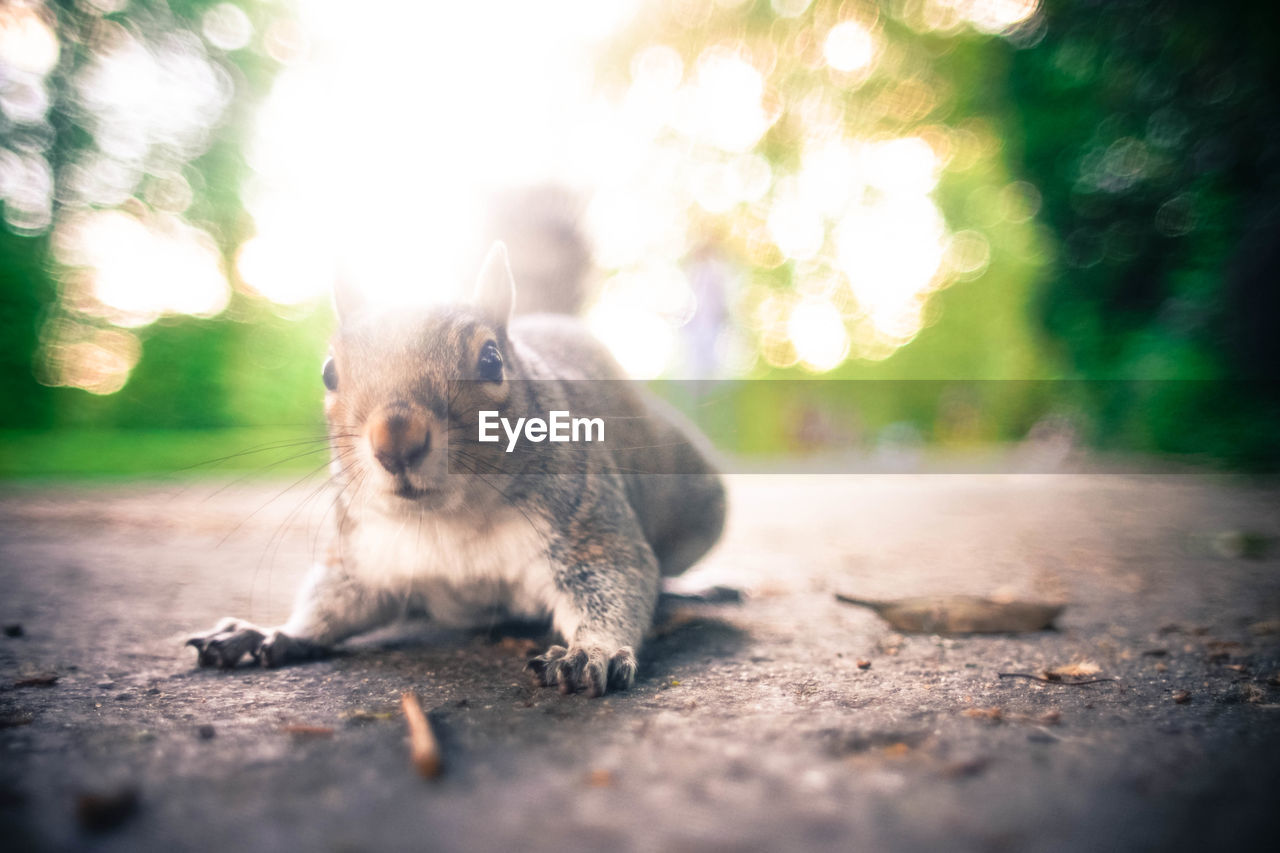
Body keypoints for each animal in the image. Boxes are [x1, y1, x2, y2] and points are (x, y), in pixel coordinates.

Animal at [190, 242, 732, 696]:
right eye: (328, 373)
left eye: (491, 360)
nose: (396, 441)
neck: (447, 520)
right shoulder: (364, 556)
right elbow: (332, 603)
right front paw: (273, 631)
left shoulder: (586, 527)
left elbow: (616, 577)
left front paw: (590, 651)